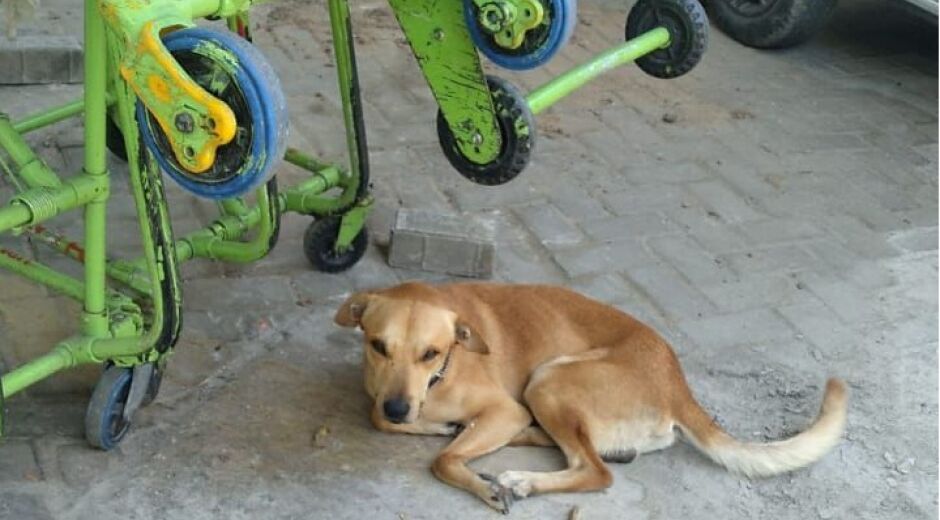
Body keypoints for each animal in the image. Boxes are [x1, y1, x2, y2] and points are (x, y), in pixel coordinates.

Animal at [334, 280, 848, 512]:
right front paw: (438, 425)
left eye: (431, 353)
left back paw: (521, 479)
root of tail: (676, 382)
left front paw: (482, 483)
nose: (400, 409)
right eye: (378, 346)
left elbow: (442, 460)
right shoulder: (385, 398)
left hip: (547, 381)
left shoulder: (505, 406)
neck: (443, 373)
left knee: (595, 470)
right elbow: (377, 415)